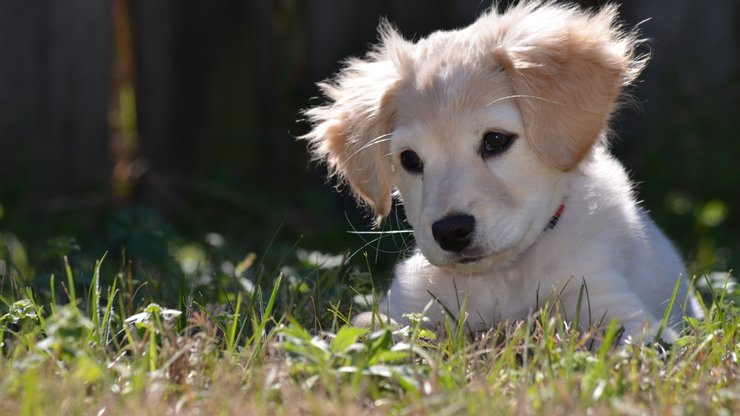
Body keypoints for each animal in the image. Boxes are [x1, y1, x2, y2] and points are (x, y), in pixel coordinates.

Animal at [300, 0, 700, 342]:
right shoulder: (405, 309)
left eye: (495, 140)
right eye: (410, 160)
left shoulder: (615, 308)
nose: (451, 232)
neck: (503, 276)